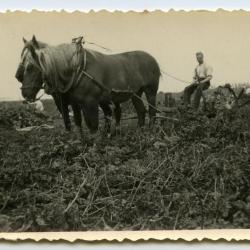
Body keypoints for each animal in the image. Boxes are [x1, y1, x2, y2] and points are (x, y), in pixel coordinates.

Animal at [16, 35, 160, 138]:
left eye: (30, 67)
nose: (25, 93)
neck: (77, 69)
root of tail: (152, 59)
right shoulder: (75, 103)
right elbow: (78, 122)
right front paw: (80, 141)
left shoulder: (90, 103)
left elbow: (93, 125)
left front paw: (94, 146)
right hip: (136, 93)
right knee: (141, 111)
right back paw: (139, 132)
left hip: (150, 91)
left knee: (151, 111)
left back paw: (150, 131)